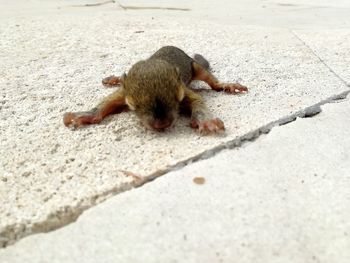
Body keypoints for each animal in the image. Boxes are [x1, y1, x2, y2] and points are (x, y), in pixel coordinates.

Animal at [63, 45, 249, 135]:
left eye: (178, 97)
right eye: (132, 105)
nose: (162, 124)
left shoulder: (184, 88)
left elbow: (198, 102)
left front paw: (206, 121)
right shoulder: (123, 92)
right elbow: (105, 104)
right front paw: (85, 115)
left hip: (195, 66)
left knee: (211, 81)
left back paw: (225, 85)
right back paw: (115, 78)